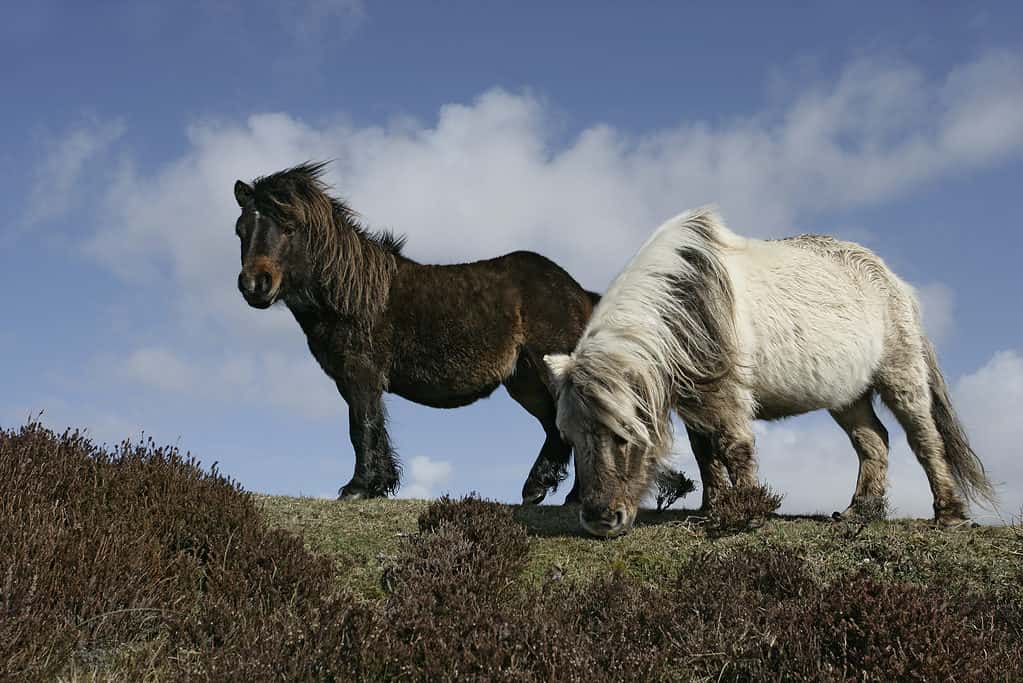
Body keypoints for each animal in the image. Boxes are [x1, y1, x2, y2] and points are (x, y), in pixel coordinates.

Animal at [232, 160, 597, 501]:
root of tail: (579, 292)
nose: (254, 285)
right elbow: (373, 426)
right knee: (558, 427)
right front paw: (378, 485)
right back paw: (542, 490)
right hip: (525, 382)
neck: (352, 294)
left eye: (289, 228)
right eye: (241, 230)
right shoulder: (352, 379)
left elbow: (361, 426)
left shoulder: (361, 374)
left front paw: (357, 488)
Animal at [548, 205, 994, 535]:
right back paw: (859, 511)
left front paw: (747, 513)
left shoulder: (726, 394)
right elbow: (705, 453)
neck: (689, 299)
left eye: (625, 434)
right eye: (570, 436)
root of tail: (896, 283)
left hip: (901, 376)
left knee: (925, 440)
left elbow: (734, 447)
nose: (600, 519)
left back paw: (949, 515)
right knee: (874, 441)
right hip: (847, 395)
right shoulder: (694, 395)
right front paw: (713, 509)